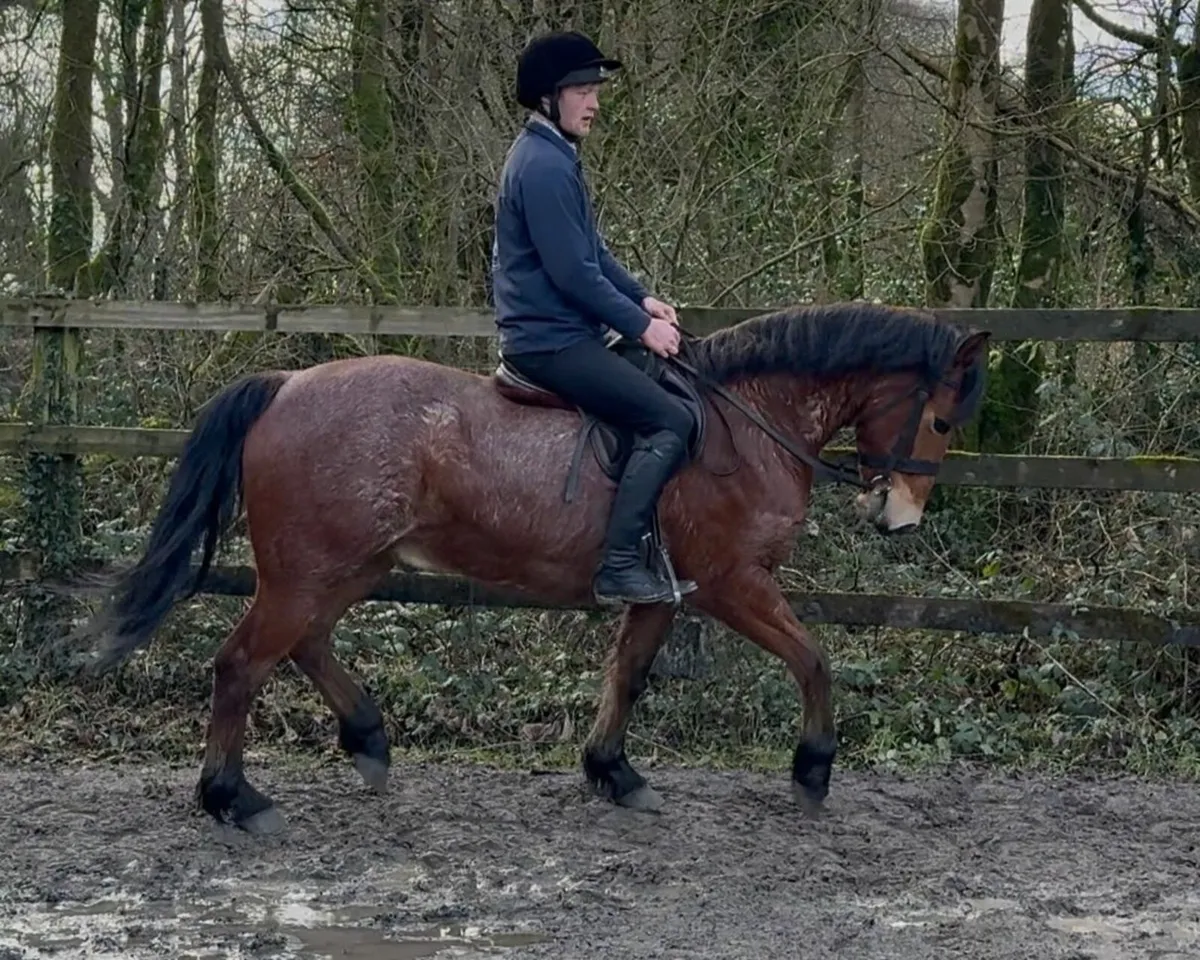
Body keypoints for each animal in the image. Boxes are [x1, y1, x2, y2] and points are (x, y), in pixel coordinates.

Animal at [80, 301, 989, 834]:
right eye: (943, 419)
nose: (899, 519)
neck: (745, 423)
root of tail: (286, 381)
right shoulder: (734, 582)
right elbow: (813, 659)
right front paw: (812, 769)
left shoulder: (666, 588)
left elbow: (629, 673)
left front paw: (612, 772)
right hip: (308, 572)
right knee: (241, 663)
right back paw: (233, 799)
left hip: (351, 567)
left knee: (304, 646)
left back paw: (367, 742)